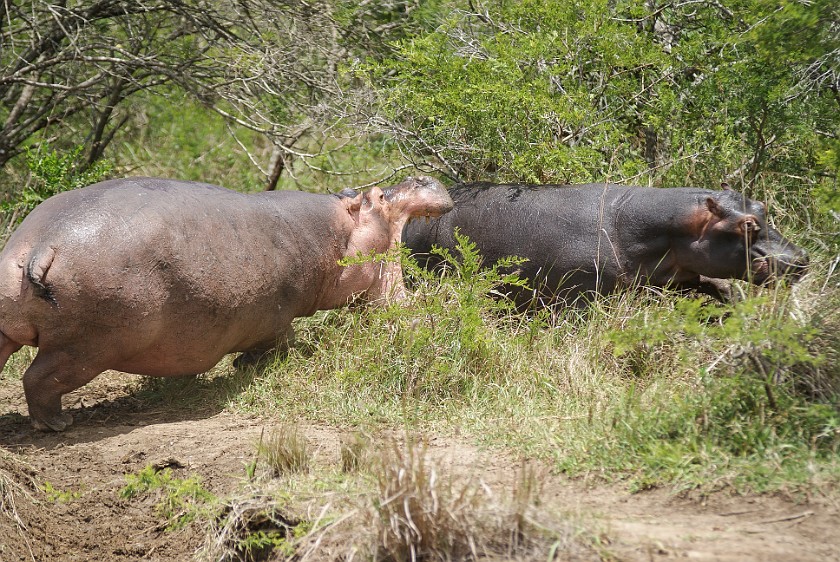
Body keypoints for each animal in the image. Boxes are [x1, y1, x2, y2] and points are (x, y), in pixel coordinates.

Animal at [0, 175, 452, 428]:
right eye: (378, 196)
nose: (424, 175)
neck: (333, 235)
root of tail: (41, 244)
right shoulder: (276, 319)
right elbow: (281, 344)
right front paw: (249, 365)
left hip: (16, 323)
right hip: (86, 346)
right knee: (38, 379)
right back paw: (58, 424)